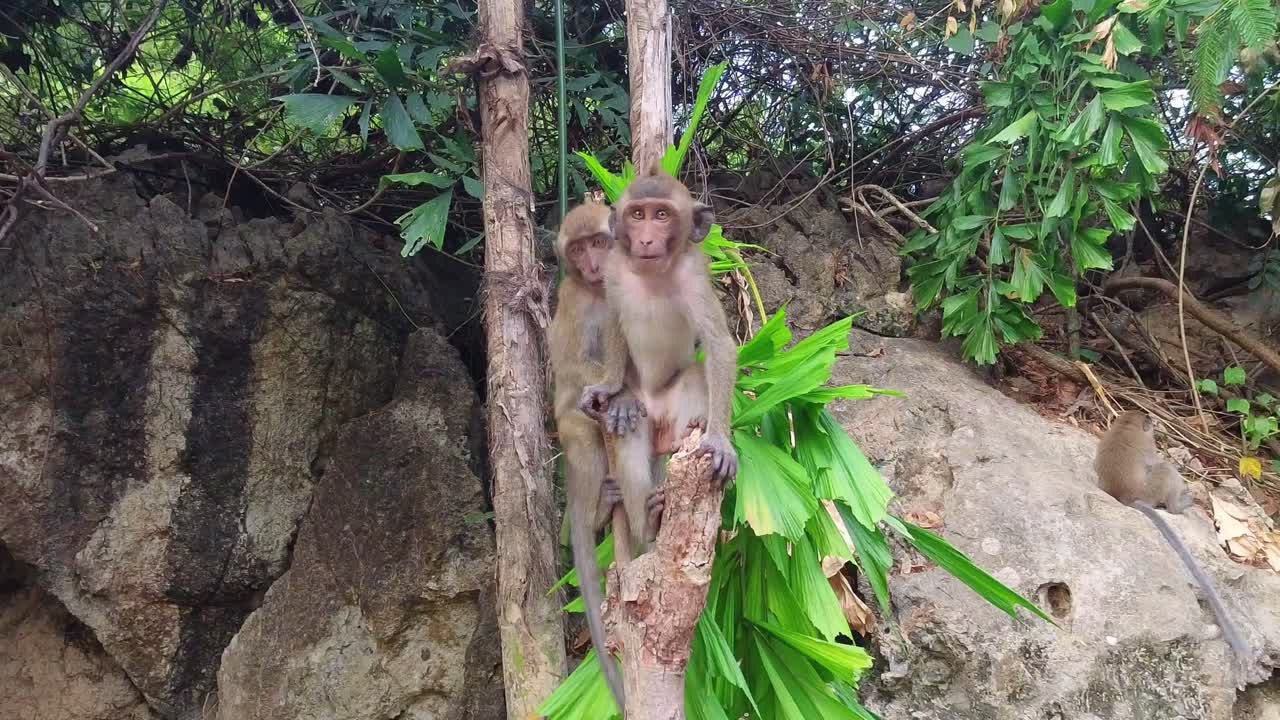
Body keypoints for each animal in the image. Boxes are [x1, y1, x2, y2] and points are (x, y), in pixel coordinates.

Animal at [580, 164, 740, 549]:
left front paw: (719, 440)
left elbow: (718, 344)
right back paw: (649, 523)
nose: (647, 240)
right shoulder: (614, 267)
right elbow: (613, 316)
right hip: (642, 412)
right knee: (630, 440)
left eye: (662, 215)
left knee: (695, 377)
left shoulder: (694, 276)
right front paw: (608, 387)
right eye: (638, 215)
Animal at [1094, 410, 1251, 671]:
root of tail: (1128, 498)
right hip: (1153, 487)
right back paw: (1180, 505)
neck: (1126, 424)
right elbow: (1157, 460)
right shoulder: (1149, 444)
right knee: (1165, 469)